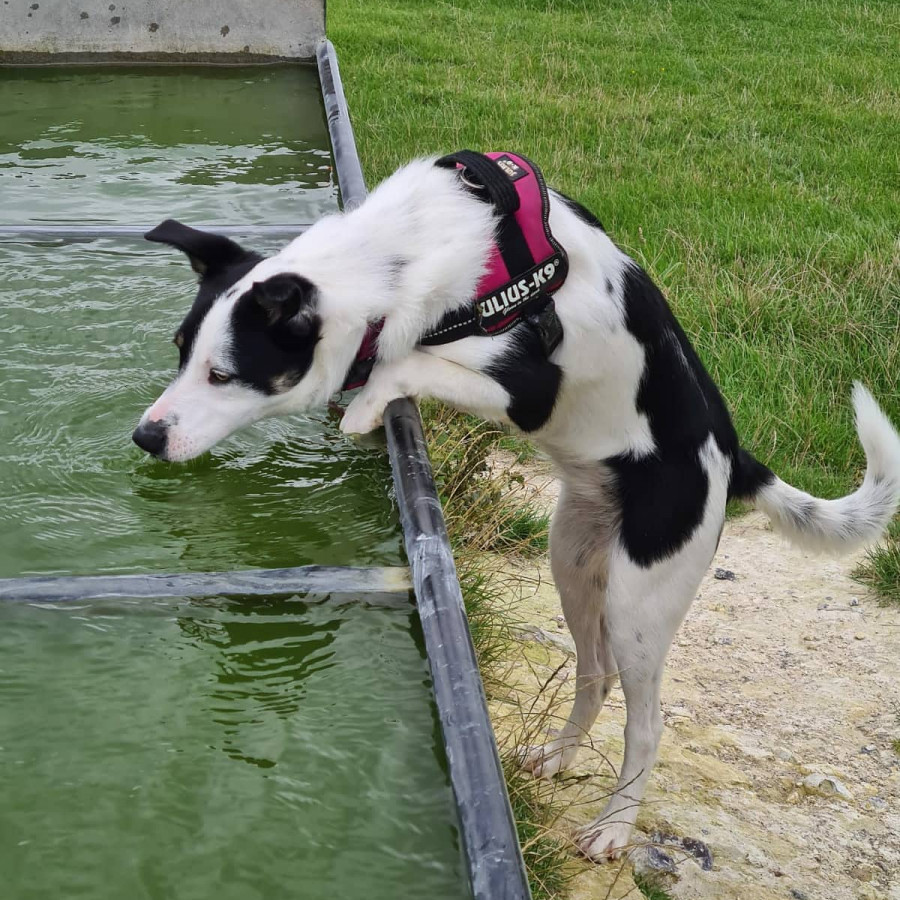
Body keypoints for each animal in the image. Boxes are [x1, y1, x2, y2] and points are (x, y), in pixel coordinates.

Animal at [134, 153, 900, 856]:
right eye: (179, 350)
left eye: (223, 374)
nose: (146, 436)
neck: (414, 250)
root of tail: (731, 457)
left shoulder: (526, 387)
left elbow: (403, 362)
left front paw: (363, 406)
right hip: (574, 558)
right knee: (595, 674)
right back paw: (559, 756)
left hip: (641, 597)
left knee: (647, 722)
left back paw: (614, 828)